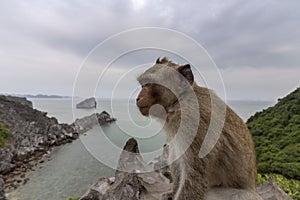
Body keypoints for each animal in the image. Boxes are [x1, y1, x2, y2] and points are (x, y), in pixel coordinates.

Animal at [136, 57, 262, 199]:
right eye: (143, 85)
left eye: (148, 84)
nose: (138, 98)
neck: (178, 102)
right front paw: (171, 193)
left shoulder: (194, 123)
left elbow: (195, 178)